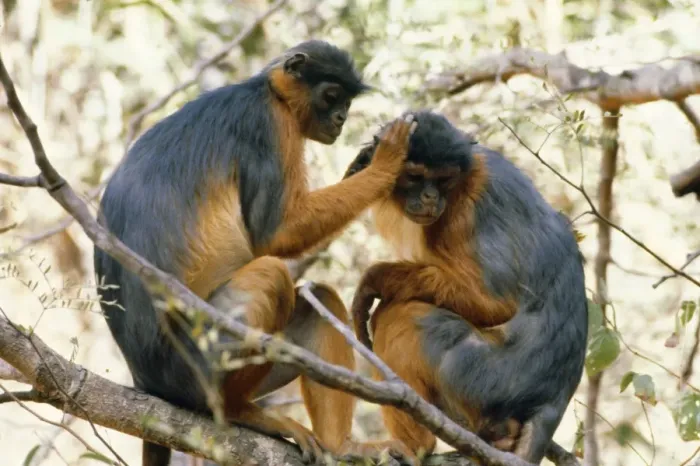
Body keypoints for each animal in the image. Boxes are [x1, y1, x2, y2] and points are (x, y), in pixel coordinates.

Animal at [93, 40, 419, 466]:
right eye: (331, 96)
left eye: (347, 101)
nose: (341, 118)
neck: (268, 90)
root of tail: (147, 380)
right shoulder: (268, 125)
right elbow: (274, 234)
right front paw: (386, 162)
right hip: (197, 360)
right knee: (271, 275)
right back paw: (236, 410)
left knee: (315, 300)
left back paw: (341, 446)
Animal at [344, 110, 588, 464]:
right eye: (415, 177)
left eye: (443, 180)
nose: (430, 197)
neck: (461, 183)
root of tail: (553, 399)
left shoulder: (469, 208)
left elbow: (495, 303)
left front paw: (375, 280)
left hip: (483, 377)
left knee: (400, 317)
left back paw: (415, 446)